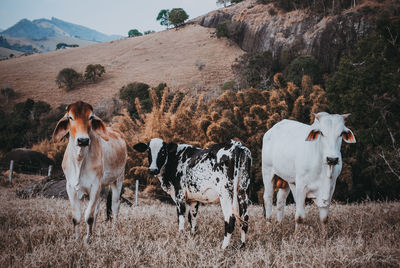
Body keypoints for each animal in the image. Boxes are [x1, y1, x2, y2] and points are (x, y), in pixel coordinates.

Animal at [52, 101, 126, 243]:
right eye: (70, 117)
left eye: (91, 117)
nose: (83, 140)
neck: (80, 160)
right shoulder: (70, 187)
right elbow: (77, 217)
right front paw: (77, 240)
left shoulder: (95, 186)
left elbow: (89, 216)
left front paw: (87, 241)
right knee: (97, 210)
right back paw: (94, 231)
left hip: (118, 179)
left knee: (115, 205)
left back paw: (114, 228)